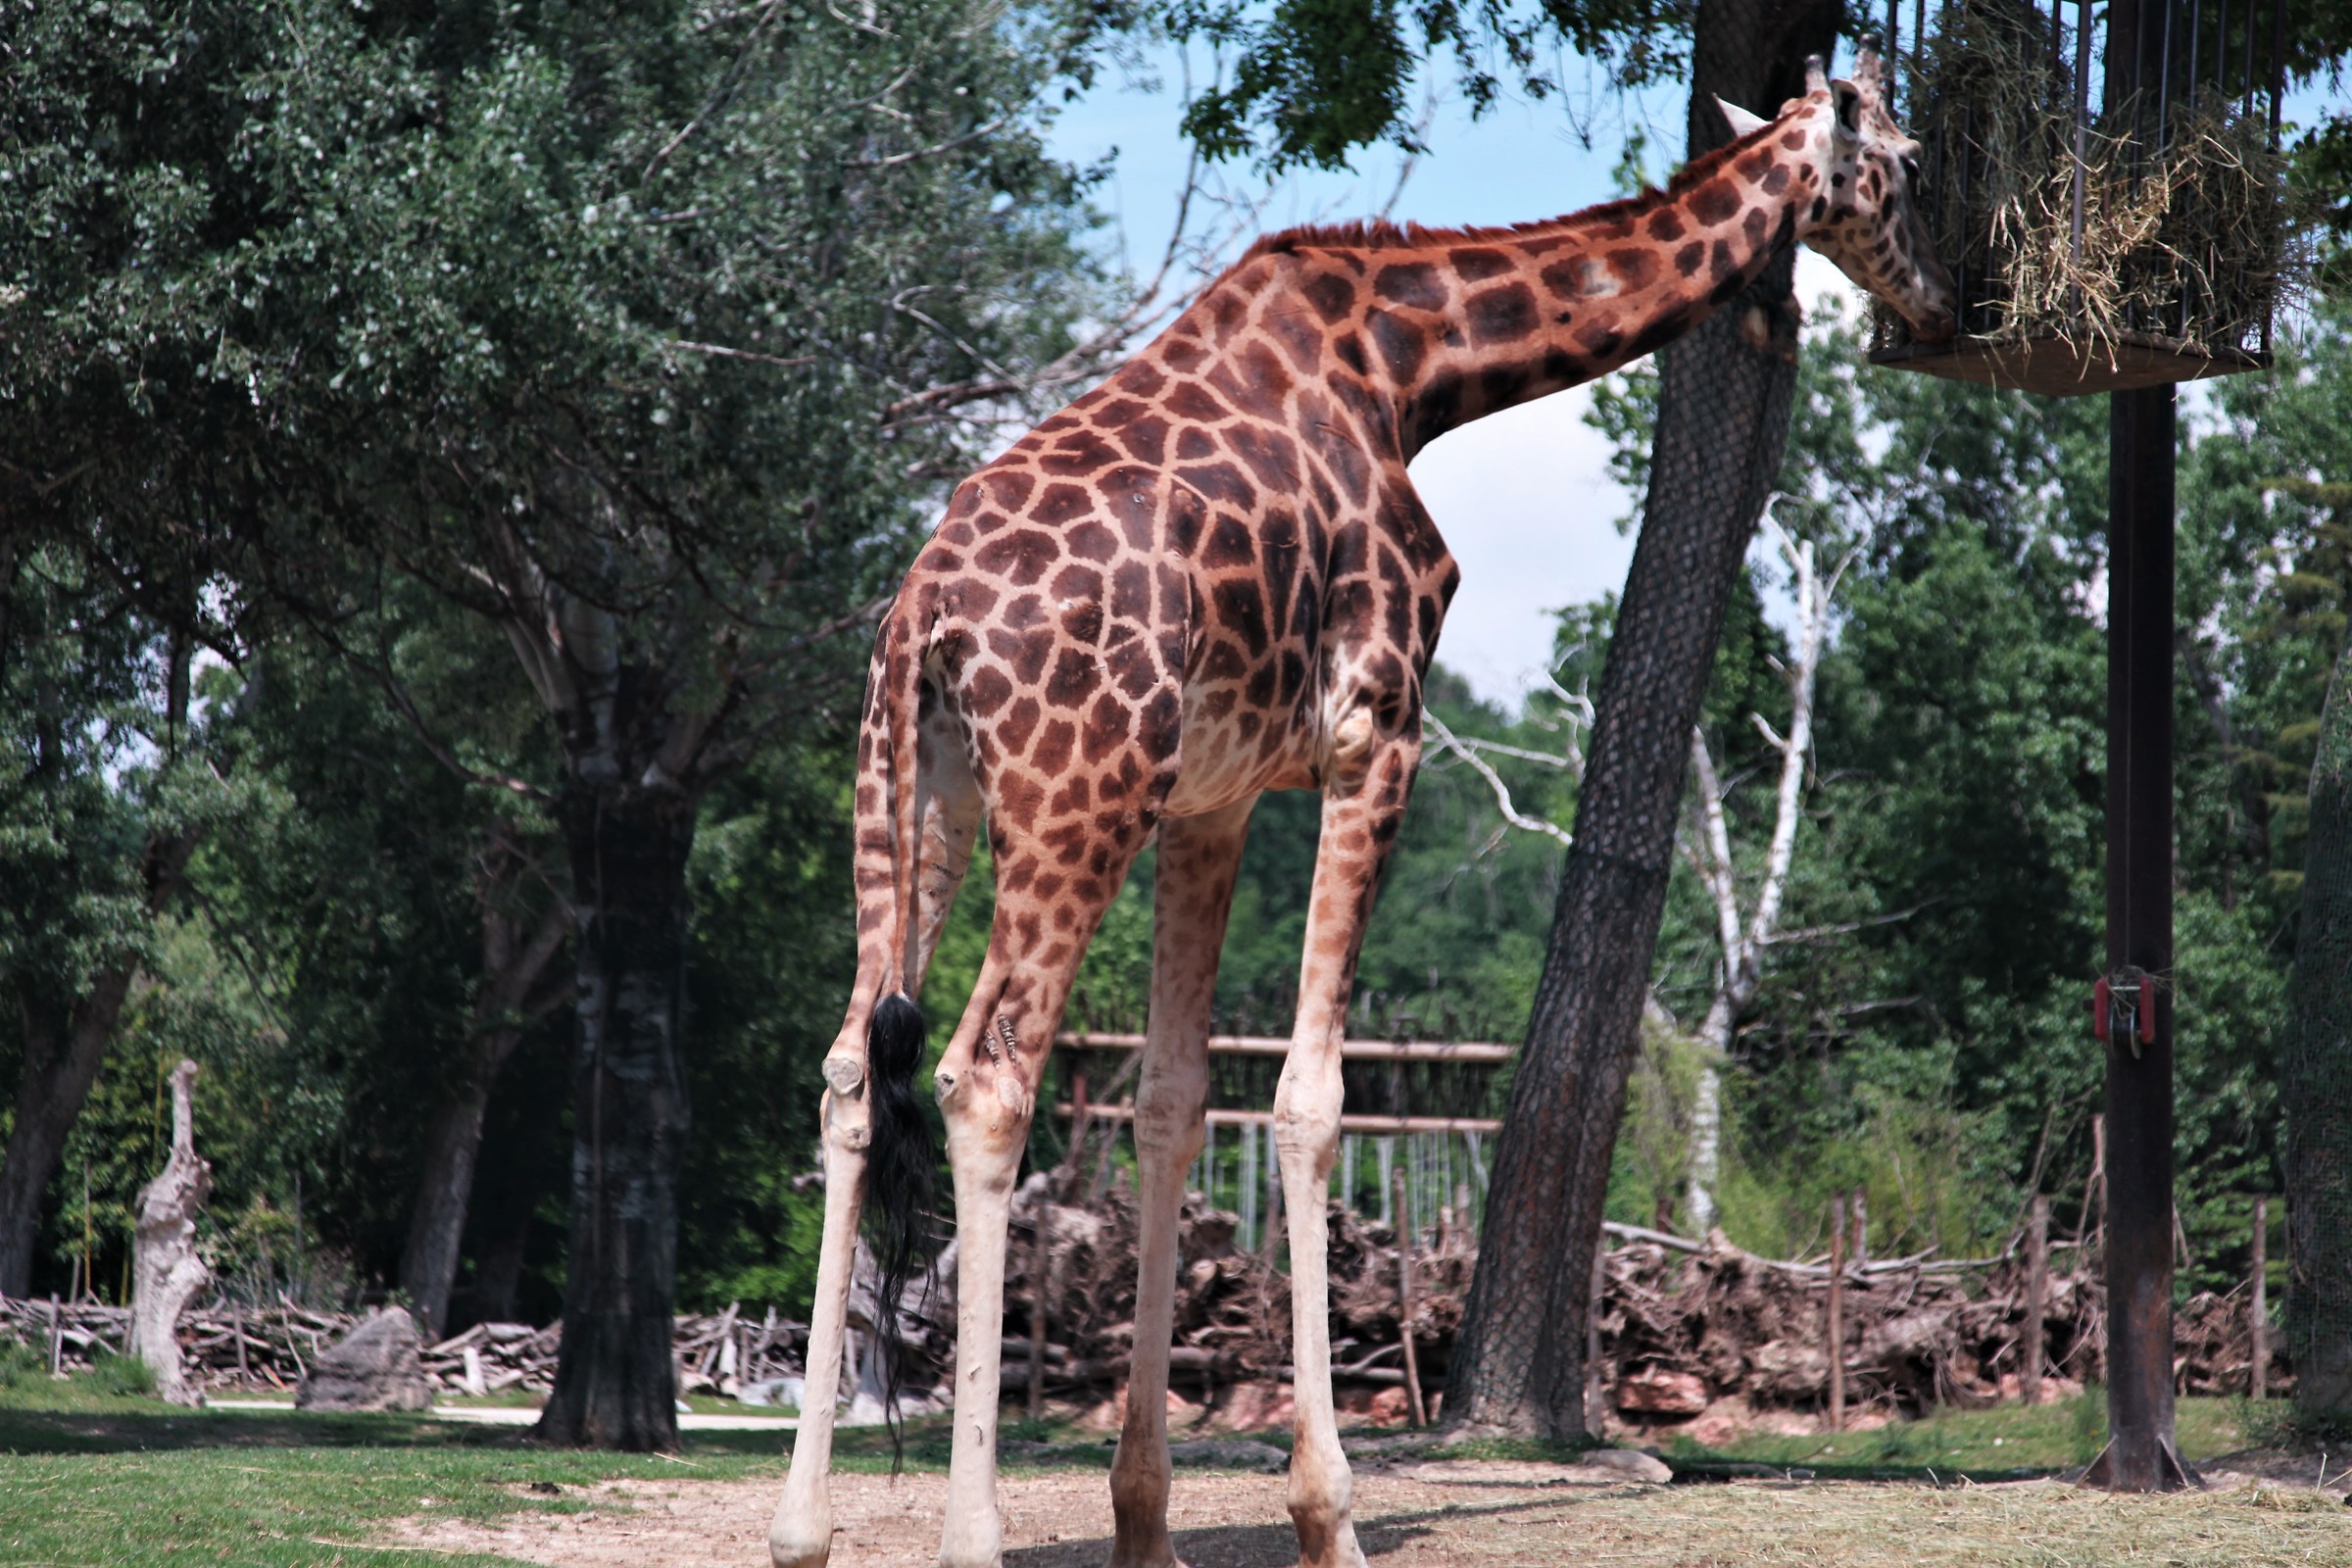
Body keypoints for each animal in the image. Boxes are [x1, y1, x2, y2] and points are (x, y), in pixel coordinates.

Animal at [771, 49, 1953, 1568]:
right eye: (1910, 166)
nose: (1943, 302)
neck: (1412, 369)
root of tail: (924, 613)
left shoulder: (1211, 802)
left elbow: (1172, 1101)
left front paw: (1147, 1524)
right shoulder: (1376, 736)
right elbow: (1311, 1099)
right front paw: (1325, 1512)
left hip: (916, 796)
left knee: (854, 1074)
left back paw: (801, 1529)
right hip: (1076, 793)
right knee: (987, 1077)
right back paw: (972, 1534)